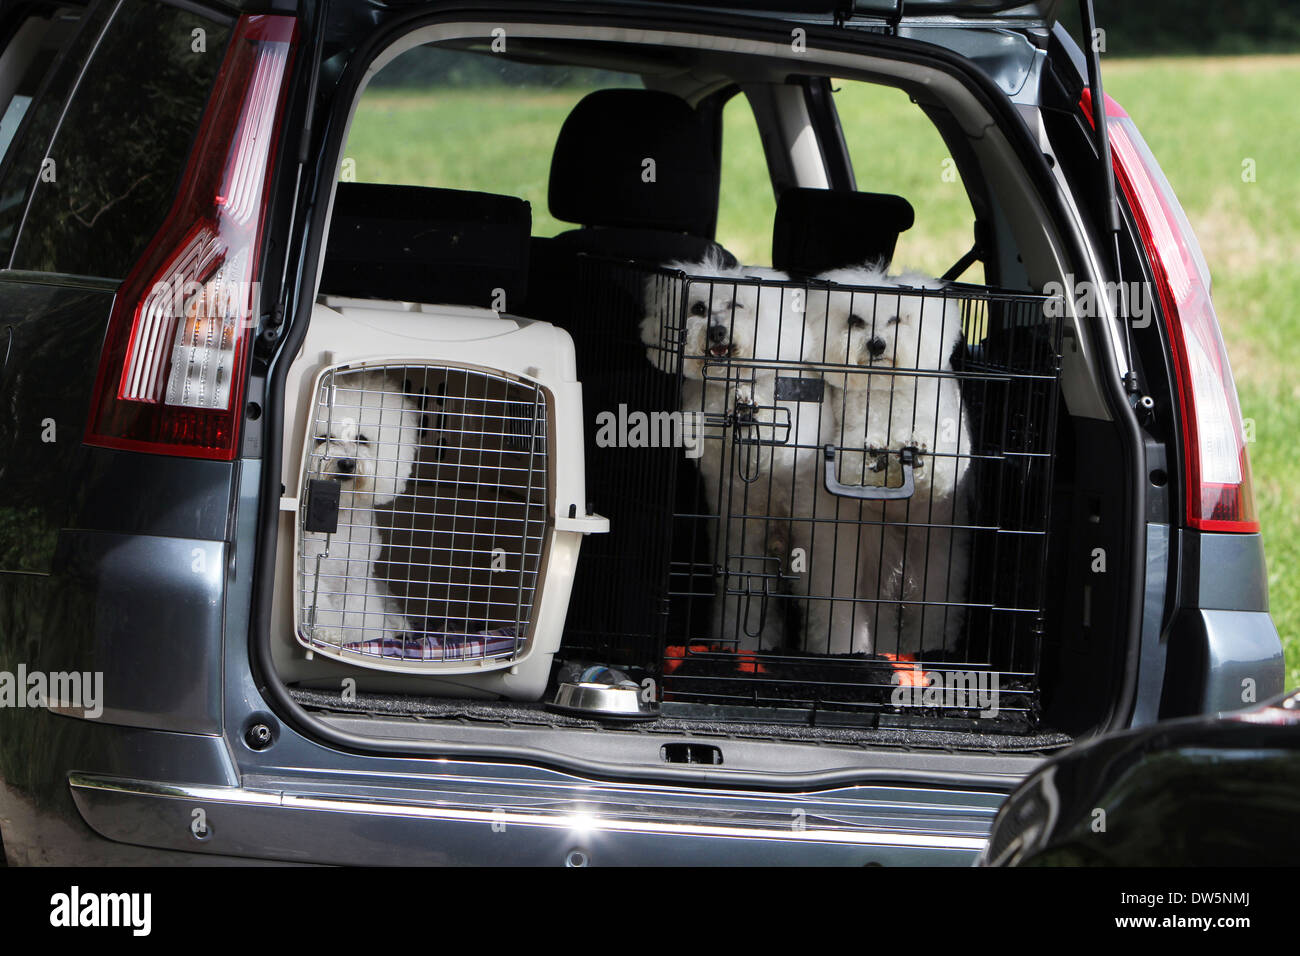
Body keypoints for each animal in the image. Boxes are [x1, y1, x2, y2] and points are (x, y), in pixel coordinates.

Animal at [300, 369, 418, 647]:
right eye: (323, 439)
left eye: (362, 439)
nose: (346, 463)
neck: (339, 514)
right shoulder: (309, 574)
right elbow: (320, 609)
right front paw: (331, 634)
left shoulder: (356, 581)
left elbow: (362, 616)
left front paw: (371, 639)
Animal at [795, 265, 972, 660]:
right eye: (855, 321)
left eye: (896, 319)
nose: (876, 344)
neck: (885, 388)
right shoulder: (846, 439)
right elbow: (854, 456)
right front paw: (874, 451)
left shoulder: (952, 442)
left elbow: (943, 459)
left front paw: (918, 447)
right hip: (844, 561)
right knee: (840, 611)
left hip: (936, 565)